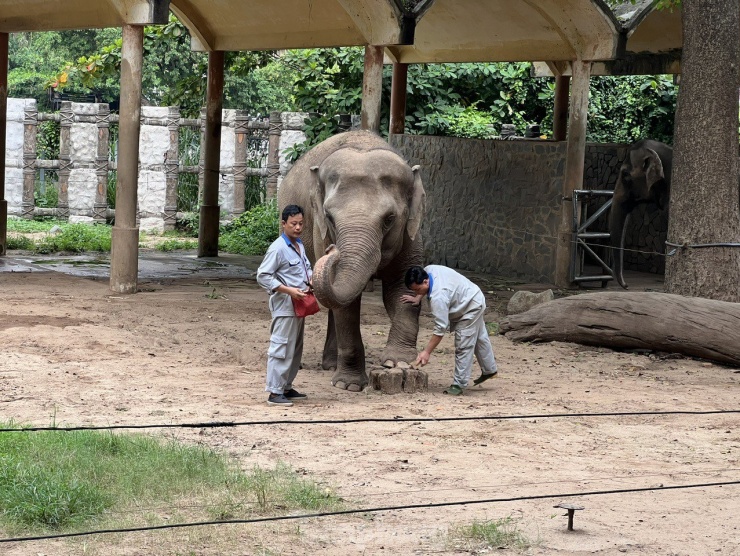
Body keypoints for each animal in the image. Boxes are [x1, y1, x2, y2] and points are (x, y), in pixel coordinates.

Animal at [276, 130, 428, 390]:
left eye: (389, 219)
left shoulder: (412, 232)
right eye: (329, 217)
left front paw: (399, 363)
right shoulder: (320, 231)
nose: (332, 250)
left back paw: (330, 365)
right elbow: (347, 307)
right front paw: (350, 386)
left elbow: (401, 287)